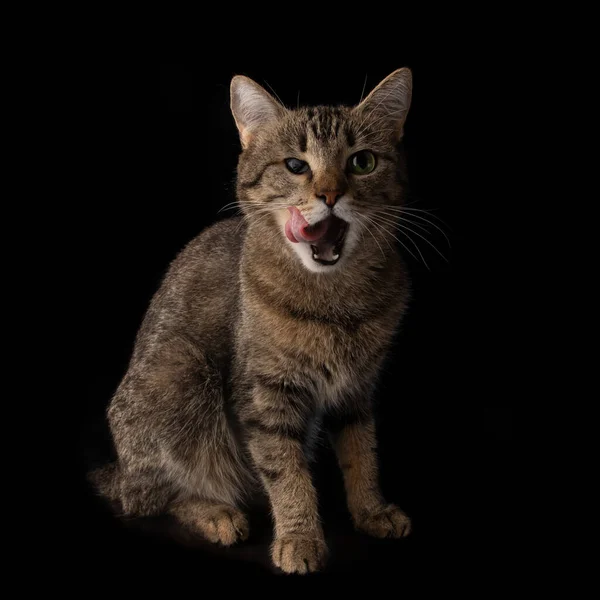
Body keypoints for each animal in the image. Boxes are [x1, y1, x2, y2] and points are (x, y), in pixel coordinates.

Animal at [91, 68, 414, 576]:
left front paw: (370, 509)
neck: (336, 299)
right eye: (296, 165)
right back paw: (217, 513)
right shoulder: (265, 396)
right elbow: (286, 472)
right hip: (180, 372)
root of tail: (119, 472)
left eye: (362, 162)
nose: (330, 194)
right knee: (156, 497)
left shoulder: (357, 388)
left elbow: (362, 451)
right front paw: (299, 537)